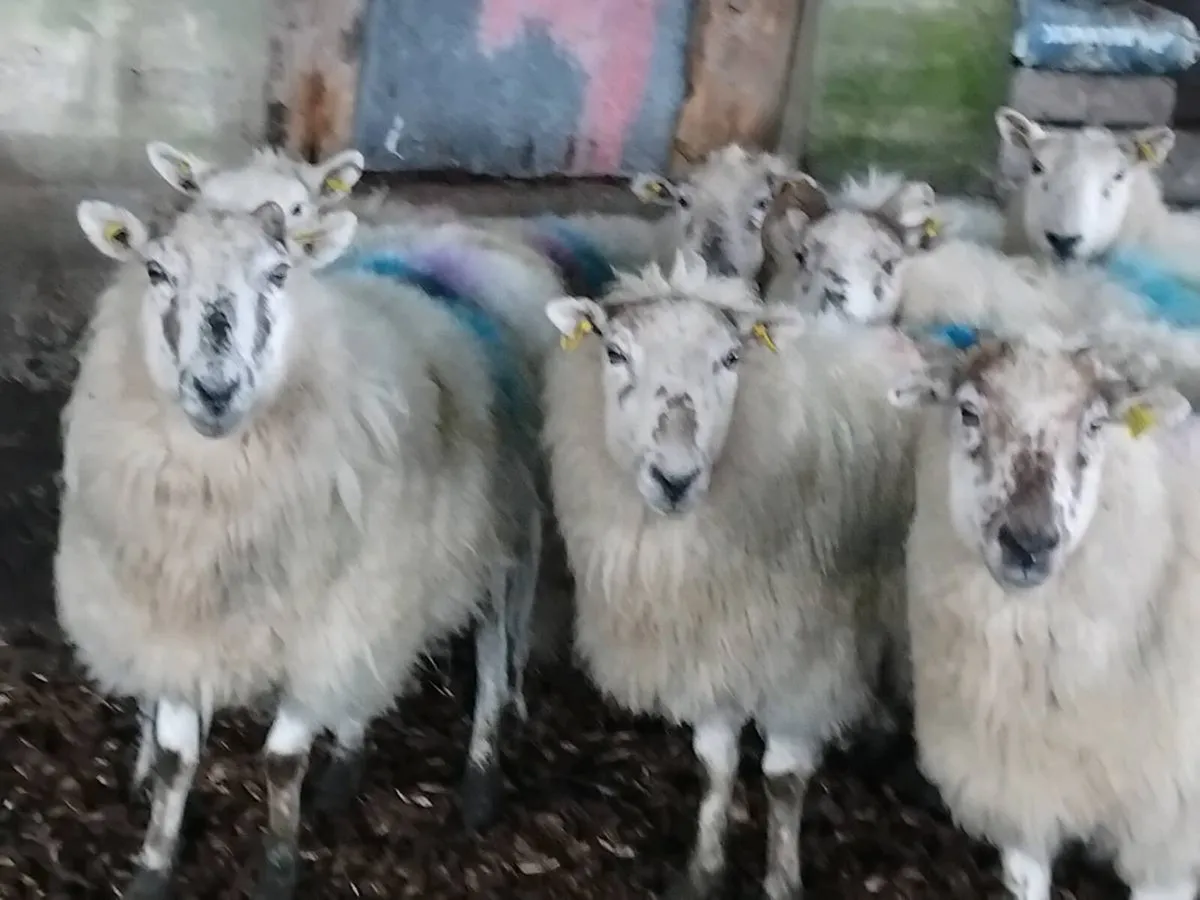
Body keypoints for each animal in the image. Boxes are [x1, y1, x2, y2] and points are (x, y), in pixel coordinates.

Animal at [59, 197, 537, 899]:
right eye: (155, 270)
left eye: (279, 273)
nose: (215, 390)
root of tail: (438, 234)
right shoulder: (174, 625)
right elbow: (175, 759)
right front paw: (154, 864)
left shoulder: (321, 624)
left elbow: (283, 762)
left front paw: (279, 869)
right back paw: (344, 769)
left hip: (494, 538)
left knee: (494, 649)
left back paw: (480, 777)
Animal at [541, 251, 920, 899]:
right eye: (614, 353)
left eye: (731, 358)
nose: (674, 479)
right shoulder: (713, 642)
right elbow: (715, 763)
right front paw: (704, 869)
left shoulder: (802, 657)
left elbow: (783, 780)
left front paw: (781, 880)